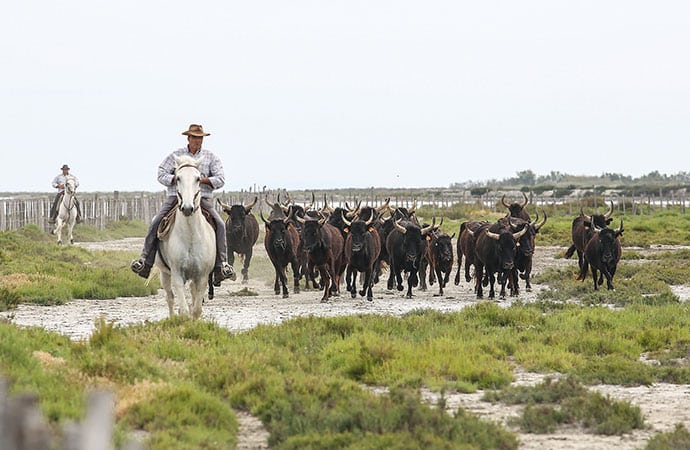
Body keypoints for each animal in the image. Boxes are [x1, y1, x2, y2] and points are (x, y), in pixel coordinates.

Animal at [155, 155, 215, 320]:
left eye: (198, 179)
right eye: (178, 178)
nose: (187, 208)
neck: (191, 237)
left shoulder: (202, 277)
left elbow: (196, 309)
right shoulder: (177, 275)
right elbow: (184, 310)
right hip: (164, 273)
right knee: (169, 297)